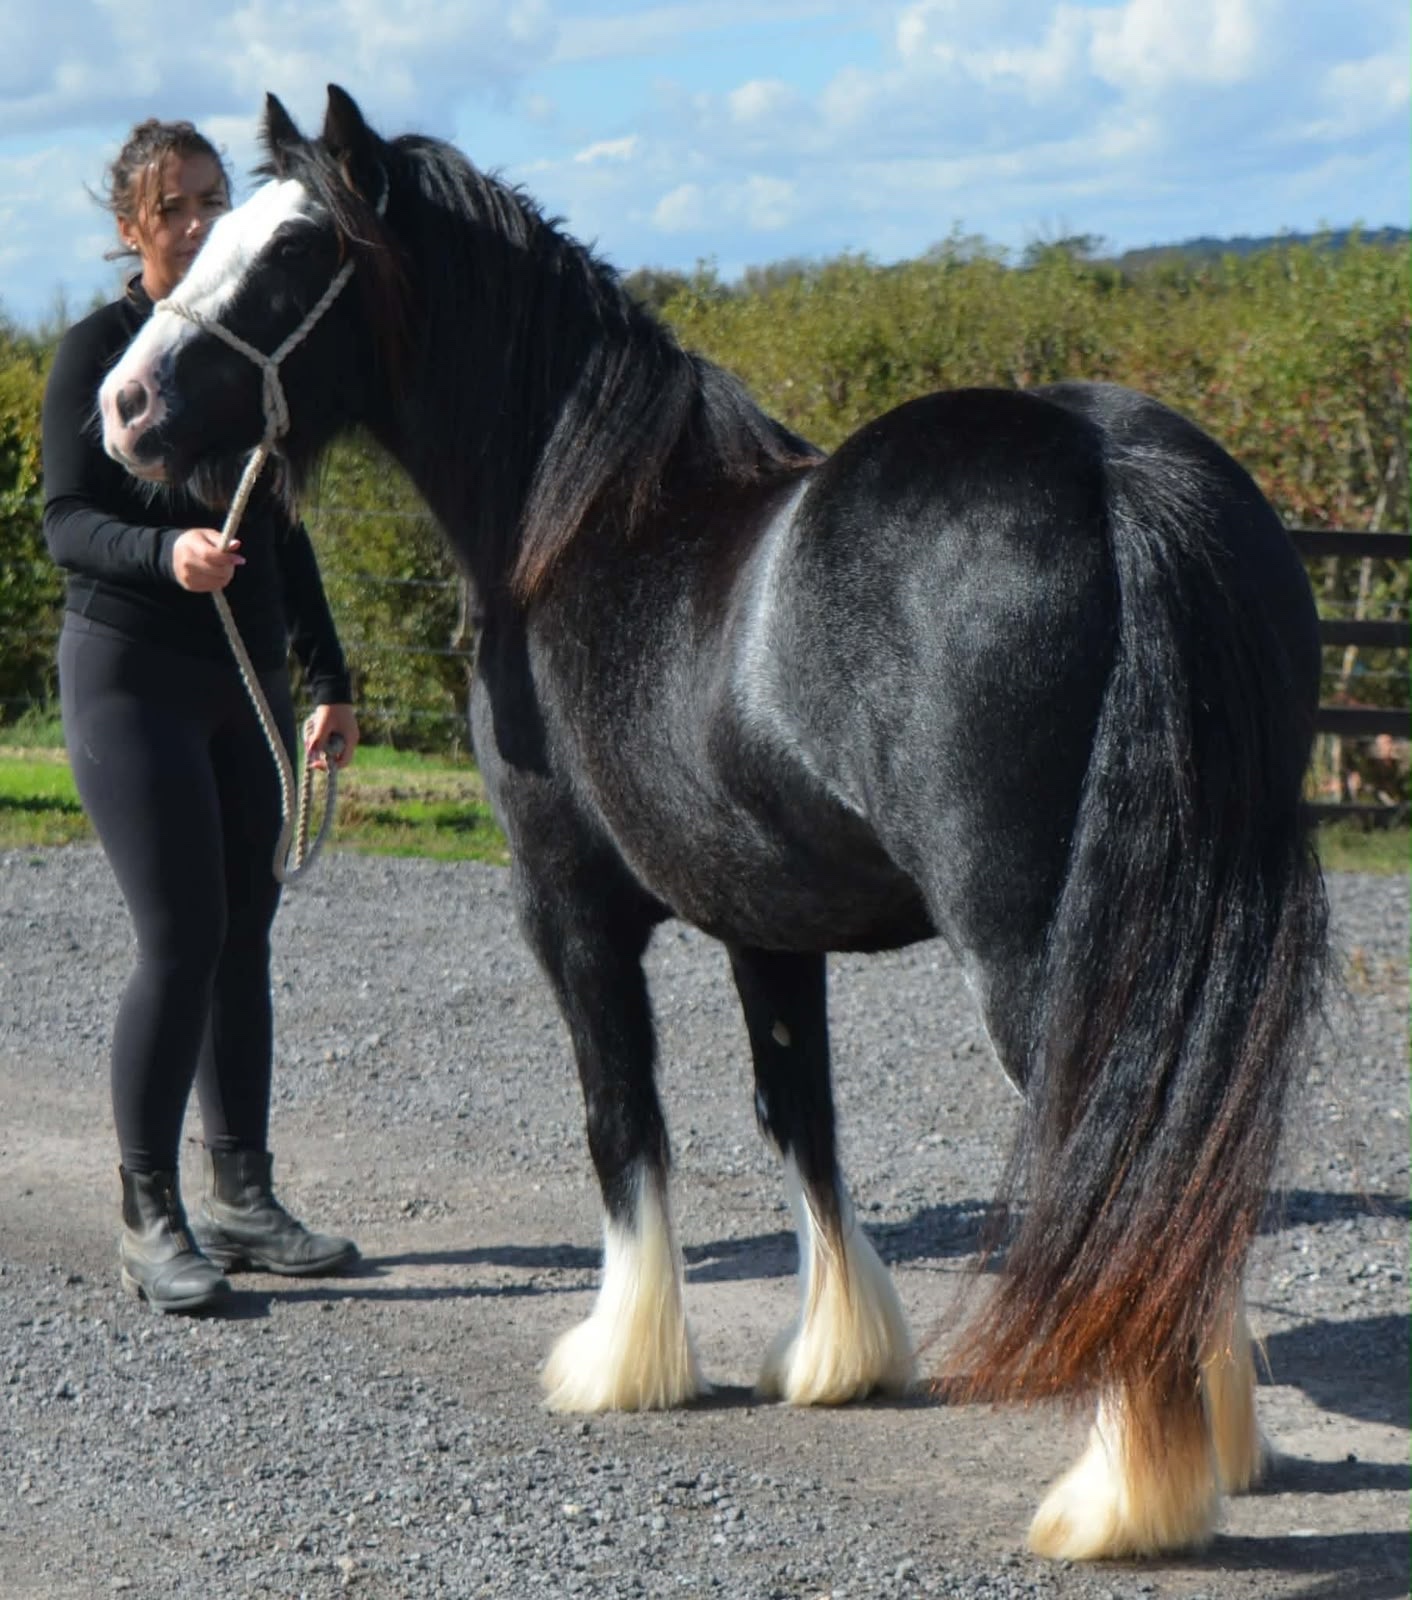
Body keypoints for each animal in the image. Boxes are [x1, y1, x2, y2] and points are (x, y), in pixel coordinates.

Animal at [98, 86, 1329, 1560]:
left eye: (291, 252)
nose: (123, 405)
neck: (584, 529)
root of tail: (1109, 467)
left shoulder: (567, 909)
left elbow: (623, 1118)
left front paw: (618, 1360)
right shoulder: (767, 925)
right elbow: (798, 1118)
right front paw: (839, 1357)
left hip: (1045, 949)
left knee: (1116, 1152)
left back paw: (1115, 1496)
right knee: (1177, 1170)